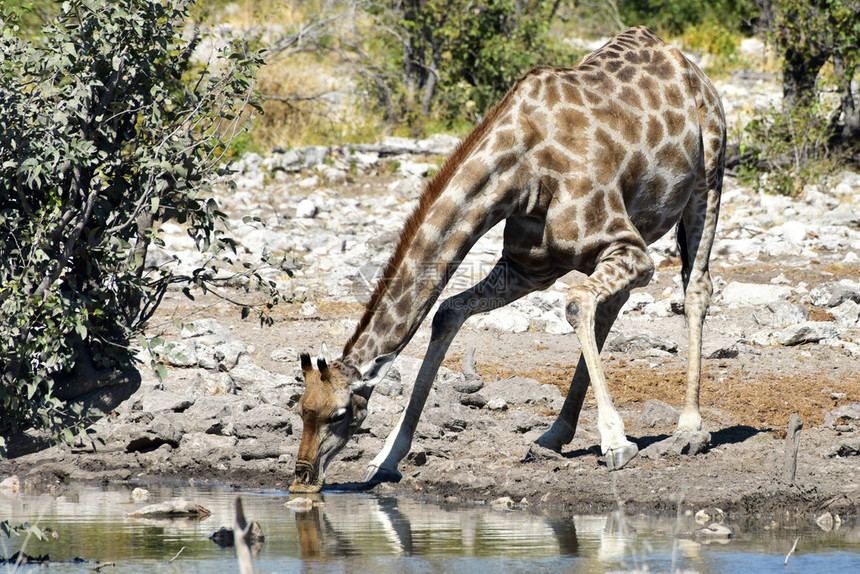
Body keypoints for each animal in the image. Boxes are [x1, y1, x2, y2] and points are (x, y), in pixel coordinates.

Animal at [288, 27, 724, 496]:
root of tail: (688, 65)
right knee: (610, 304)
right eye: (301, 409)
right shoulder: (528, 267)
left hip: (709, 177)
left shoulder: (632, 250)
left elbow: (575, 304)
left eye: (339, 414)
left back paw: (688, 426)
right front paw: (386, 458)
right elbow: (447, 312)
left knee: (695, 288)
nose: (302, 479)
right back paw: (555, 434)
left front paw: (616, 442)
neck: (522, 173)